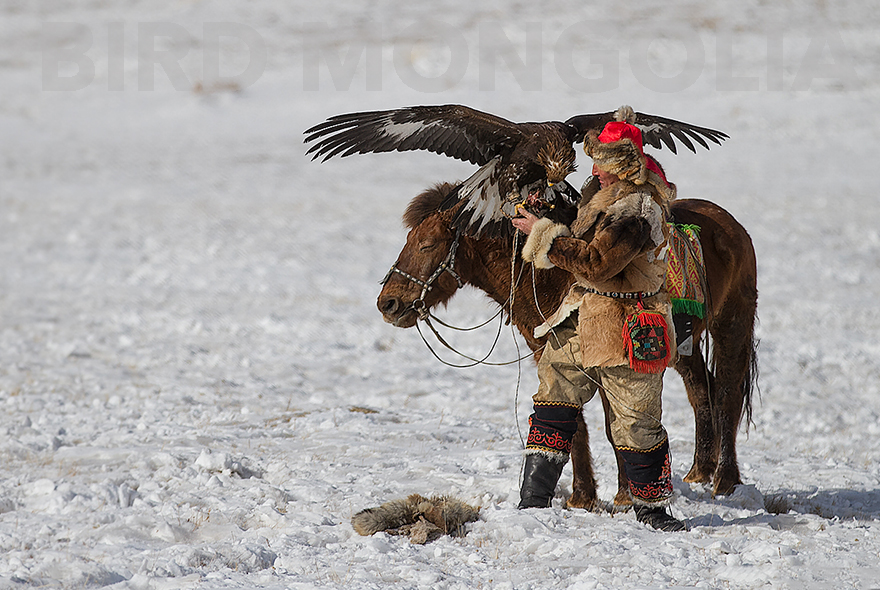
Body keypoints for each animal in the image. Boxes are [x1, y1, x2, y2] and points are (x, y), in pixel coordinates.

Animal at [378, 184, 756, 508]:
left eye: (428, 244)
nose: (388, 303)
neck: (547, 275)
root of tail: (731, 226)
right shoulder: (550, 352)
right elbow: (573, 422)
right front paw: (582, 497)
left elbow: (613, 425)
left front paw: (622, 496)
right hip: (683, 346)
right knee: (700, 390)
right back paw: (699, 472)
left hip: (731, 324)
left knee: (726, 394)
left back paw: (725, 480)